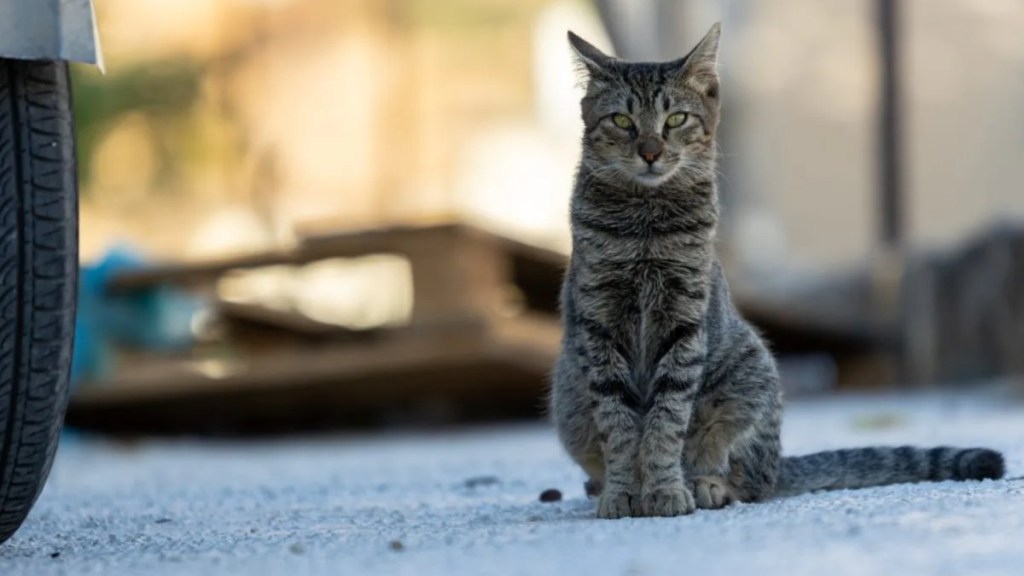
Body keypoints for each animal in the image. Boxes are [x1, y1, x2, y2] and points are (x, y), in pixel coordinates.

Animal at [548, 22, 1003, 518]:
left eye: (676, 120)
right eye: (622, 122)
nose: (650, 152)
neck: (644, 228)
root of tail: (780, 465)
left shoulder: (684, 323)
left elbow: (666, 421)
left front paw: (666, 489)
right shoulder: (600, 323)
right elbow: (619, 425)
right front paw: (623, 492)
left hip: (748, 376)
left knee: (746, 478)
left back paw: (706, 485)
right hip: (568, 401)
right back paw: (602, 487)